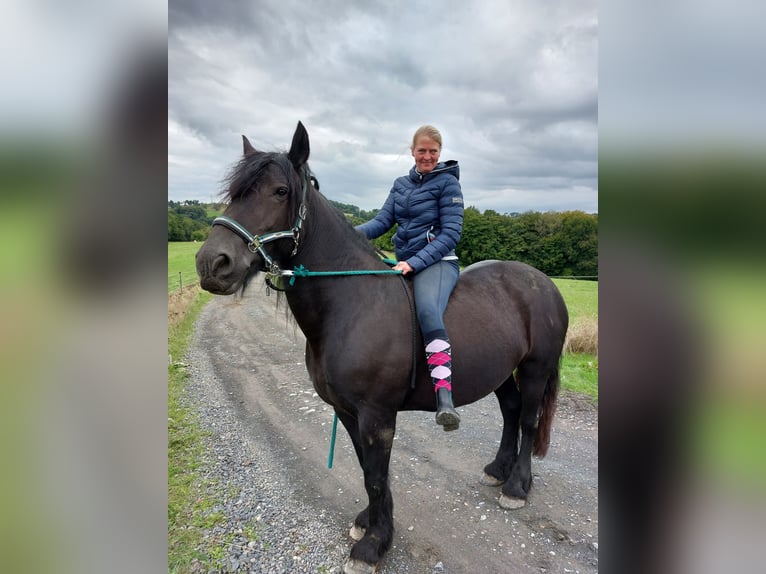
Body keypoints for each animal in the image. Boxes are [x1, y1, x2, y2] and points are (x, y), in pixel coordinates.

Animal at [195, 122, 569, 574]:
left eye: (280, 191)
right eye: (234, 192)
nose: (212, 263)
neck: (350, 303)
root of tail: (544, 283)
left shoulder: (377, 416)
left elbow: (375, 476)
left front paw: (373, 546)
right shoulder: (347, 411)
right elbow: (367, 471)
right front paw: (372, 523)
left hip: (535, 368)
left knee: (529, 420)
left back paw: (516, 486)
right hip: (500, 372)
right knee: (512, 412)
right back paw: (499, 468)